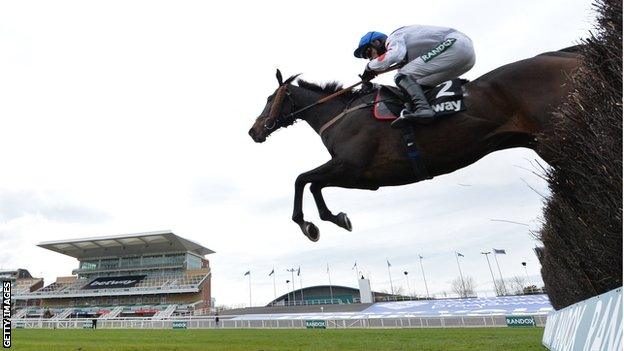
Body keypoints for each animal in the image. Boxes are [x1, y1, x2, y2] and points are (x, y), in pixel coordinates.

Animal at [247, 48, 580, 242]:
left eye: (269, 99)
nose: (253, 131)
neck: (340, 114)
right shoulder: (357, 175)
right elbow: (313, 184)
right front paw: (335, 218)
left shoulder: (354, 169)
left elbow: (302, 179)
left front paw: (309, 224)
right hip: (538, 141)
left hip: (556, 135)